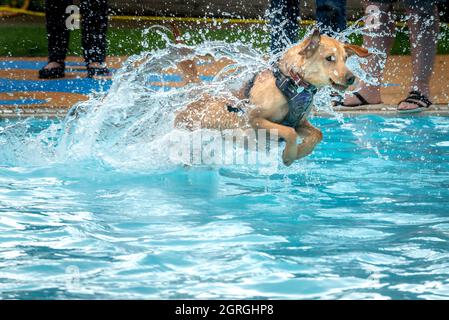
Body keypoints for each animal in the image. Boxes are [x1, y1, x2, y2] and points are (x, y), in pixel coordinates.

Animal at [173, 30, 370, 166]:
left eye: (345, 58)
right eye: (329, 58)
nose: (351, 78)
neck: (292, 81)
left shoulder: (299, 122)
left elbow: (317, 134)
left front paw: (299, 152)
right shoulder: (255, 119)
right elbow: (289, 132)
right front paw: (289, 155)